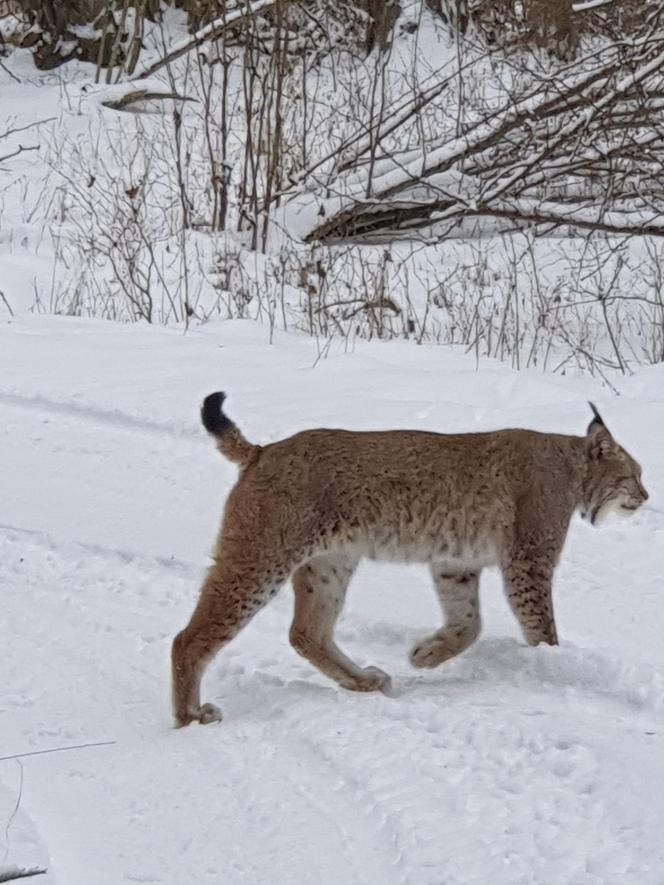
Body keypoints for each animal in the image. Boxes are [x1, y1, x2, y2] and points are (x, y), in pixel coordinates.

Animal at [171, 396, 648, 724]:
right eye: (633, 475)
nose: (646, 496)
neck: (572, 468)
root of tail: (264, 449)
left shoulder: (455, 561)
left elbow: (469, 622)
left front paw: (427, 655)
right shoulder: (528, 561)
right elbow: (540, 624)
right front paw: (549, 662)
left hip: (330, 561)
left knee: (306, 633)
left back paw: (362, 681)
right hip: (263, 554)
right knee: (188, 637)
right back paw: (190, 717)